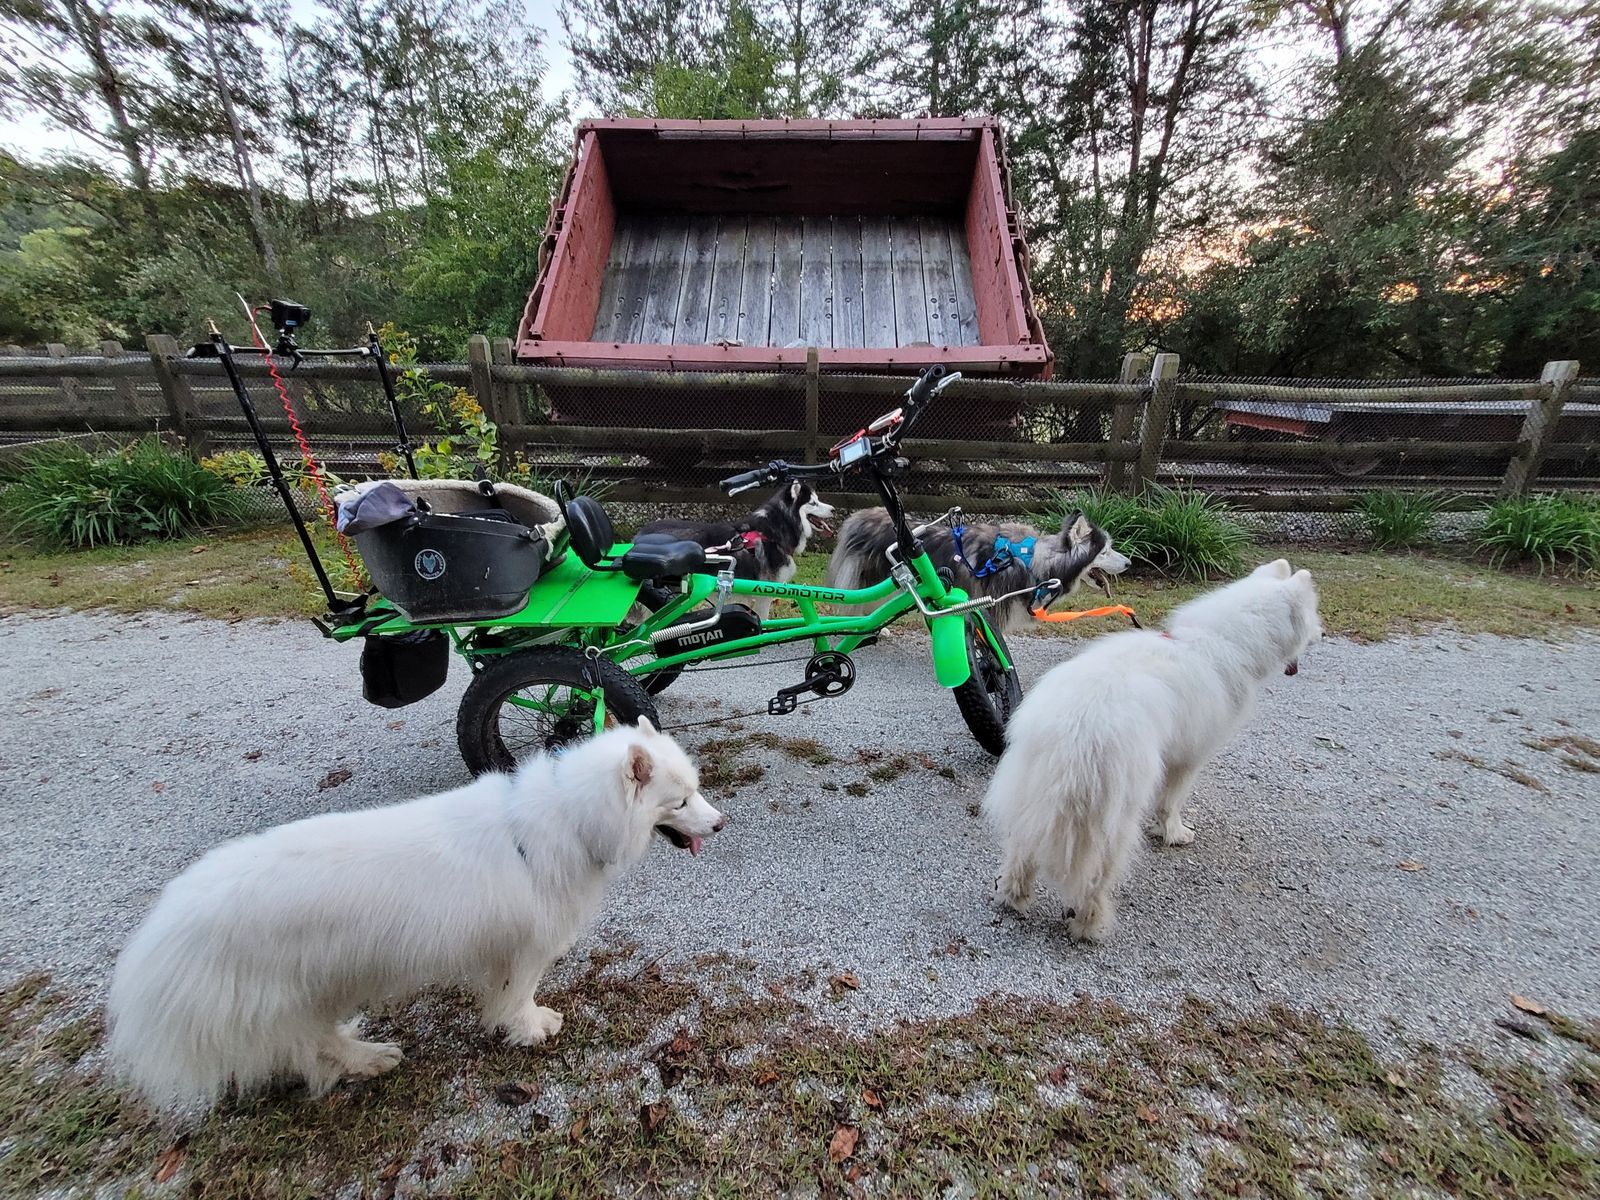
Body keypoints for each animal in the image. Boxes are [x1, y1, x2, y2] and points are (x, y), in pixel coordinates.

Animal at [106, 720, 725, 1111]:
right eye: (681, 802)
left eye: (697, 792)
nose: (721, 823)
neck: (573, 819)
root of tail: (179, 920)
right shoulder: (529, 946)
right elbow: (518, 996)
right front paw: (529, 1028)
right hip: (299, 991)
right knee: (311, 1044)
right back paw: (368, 1058)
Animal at [636, 481, 835, 616]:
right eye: (813, 503)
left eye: (818, 500)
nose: (833, 509)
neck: (772, 532)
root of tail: (640, 533)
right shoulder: (764, 595)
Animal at [982, 559, 1321, 942]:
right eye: (1314, 614)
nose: (1321, 635)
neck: (1220, 640)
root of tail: (1077, 727)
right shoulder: (1189, 759)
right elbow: (1170, 804)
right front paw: (1174, 834)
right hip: (1112, 821)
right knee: (1094, 879)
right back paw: (1090, 925)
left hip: (1032, 794)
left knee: (1021, 852)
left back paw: (1014, 898)